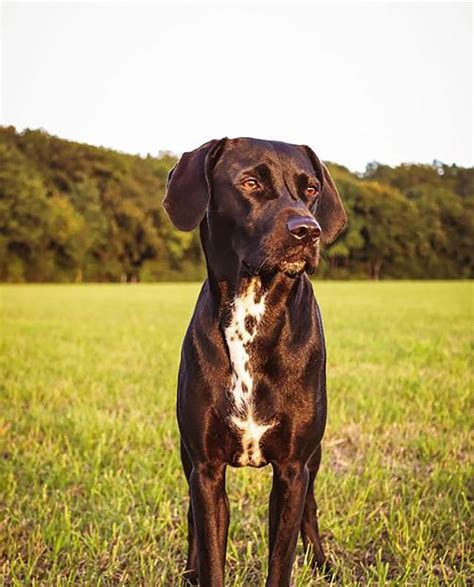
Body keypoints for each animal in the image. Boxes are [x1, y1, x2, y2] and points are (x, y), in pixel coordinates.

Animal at [164, 137, 348, 584]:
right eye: (250, 183)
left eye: (311, 188)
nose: (308, 230)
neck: (252, 313)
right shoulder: (206, 469)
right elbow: (210, 550)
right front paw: (200, 570)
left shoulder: (293, 469)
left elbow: (282, 559)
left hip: (314, 461)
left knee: (311, 509)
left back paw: (322, 562)